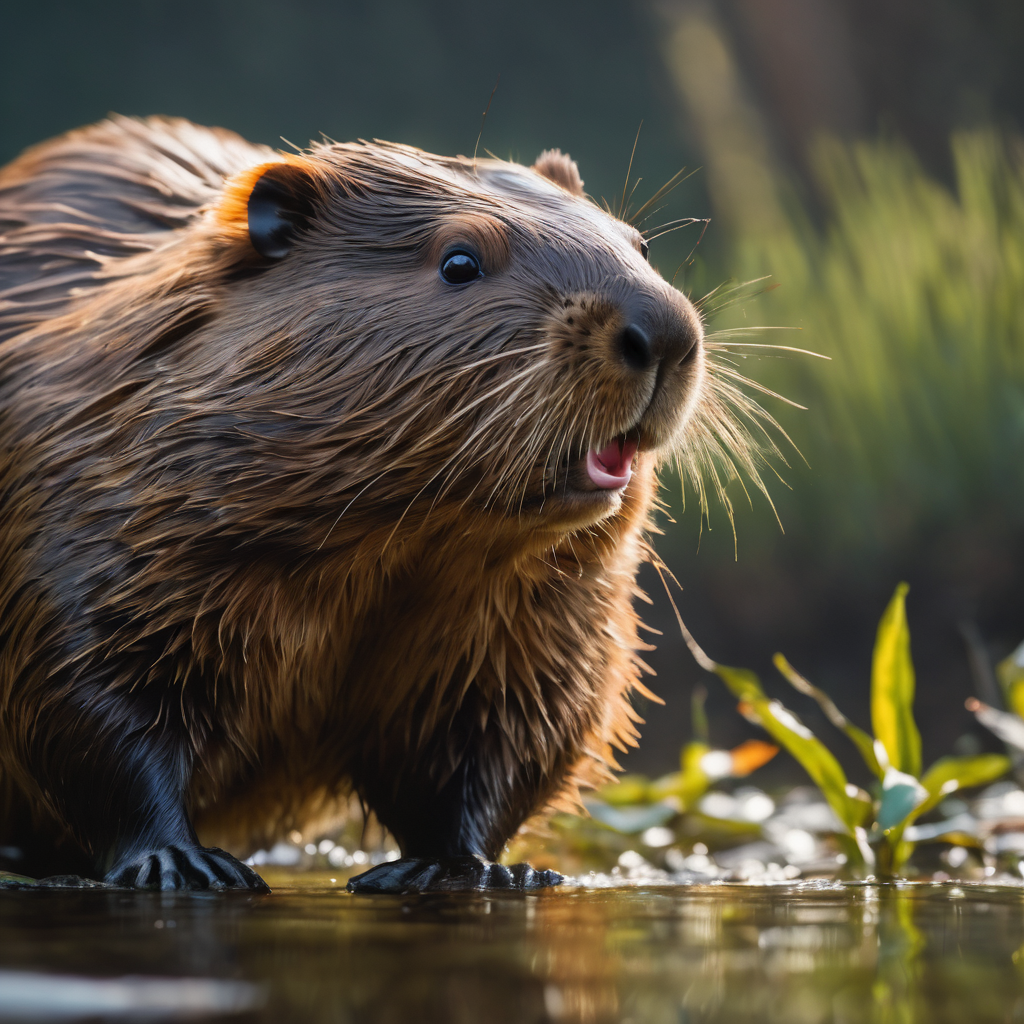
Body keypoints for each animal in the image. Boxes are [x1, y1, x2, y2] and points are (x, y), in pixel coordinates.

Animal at [0, 117, 712, 888]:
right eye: (460, 262)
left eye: (638, 244)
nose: (665, 331)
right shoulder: (94, 529)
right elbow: (87, 705)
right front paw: (182, 863)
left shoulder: (537, 619)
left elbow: (510, 731)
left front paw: (470, 868)